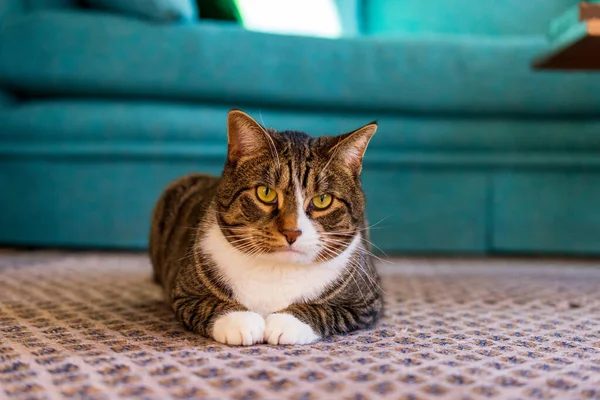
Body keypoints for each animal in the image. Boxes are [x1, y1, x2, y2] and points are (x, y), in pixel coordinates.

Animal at [150, 110, 384, 346]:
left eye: (322, 200)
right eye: (265, 192)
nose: (292, 232)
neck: (277, 271)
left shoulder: (366, 302)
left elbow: (326, 310)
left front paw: (286, 323)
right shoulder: (184, 293)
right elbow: (208, 303)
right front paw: (240, 321)